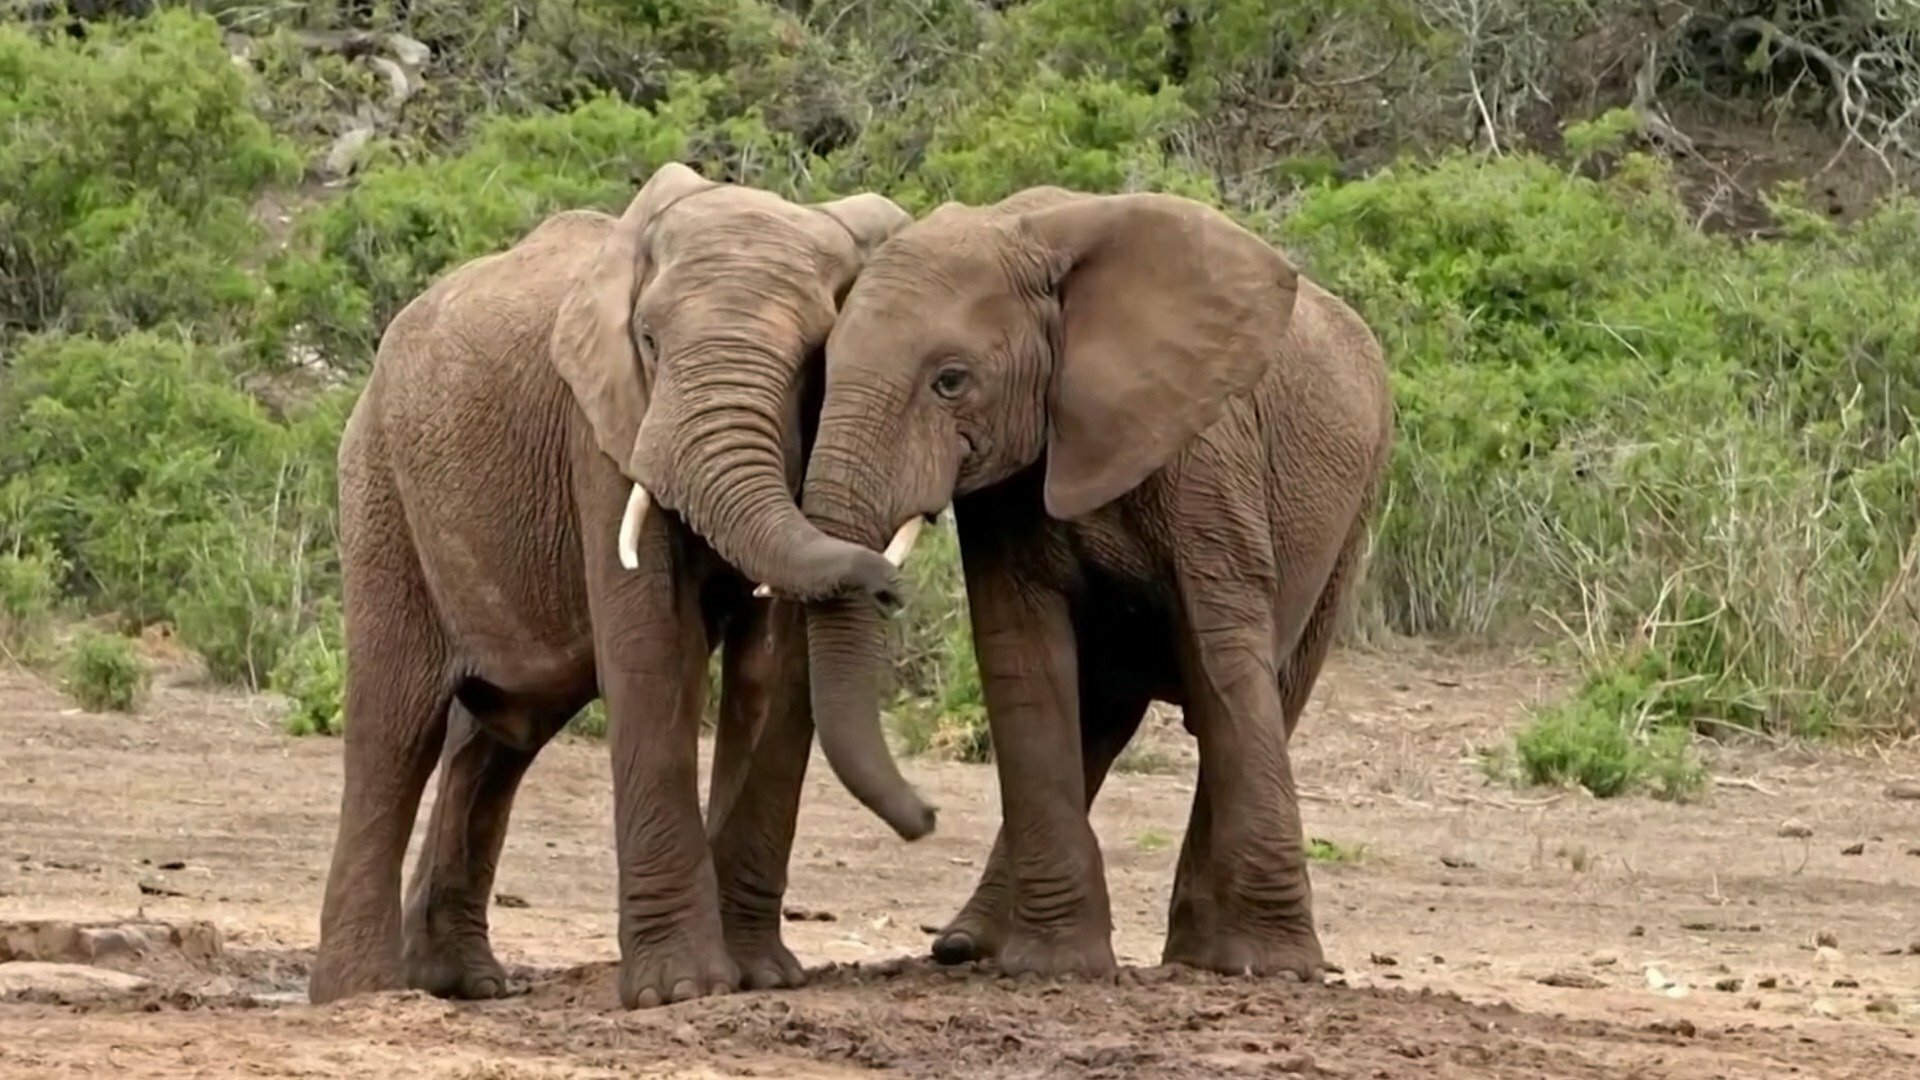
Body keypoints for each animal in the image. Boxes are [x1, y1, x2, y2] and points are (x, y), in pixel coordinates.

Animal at [308, 162, 939, 1011]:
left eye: (816, 355)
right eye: (648, 342)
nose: (928, 816)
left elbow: (774, 670)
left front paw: (760, 979)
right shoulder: (603, 431)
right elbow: (654, 649)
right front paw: (682, 991)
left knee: (500, 733)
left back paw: (460, 983)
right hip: (381, 483)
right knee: (396, 726)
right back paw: (363, 994)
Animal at [743, 185, 1393, 980]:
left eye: (951, 381)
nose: (925, 818)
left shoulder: (1206, 450)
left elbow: (1225, 658)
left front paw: (1272, 969)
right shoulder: (1009, 485)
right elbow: (1024, 657)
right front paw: (1056, 968)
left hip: (1352, 517)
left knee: (1263, 691)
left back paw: (1199, 958)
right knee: (1101, 718)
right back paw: (969, 945)